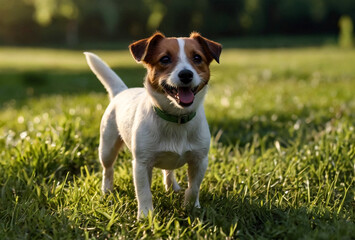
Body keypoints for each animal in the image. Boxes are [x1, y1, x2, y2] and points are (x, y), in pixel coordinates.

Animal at [84, 32, 221, 219]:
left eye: (197, 58)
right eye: (165, 59)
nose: (186, 74)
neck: (175, 118)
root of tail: (121, 91)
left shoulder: (200, 160)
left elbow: (193, 188)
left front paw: (192, 208)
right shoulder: (141, 164)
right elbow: (143, 192)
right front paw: (145, 216)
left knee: (168, 171)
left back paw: (172, 187)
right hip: (107, 147)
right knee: (108, 169)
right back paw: (107, 190)